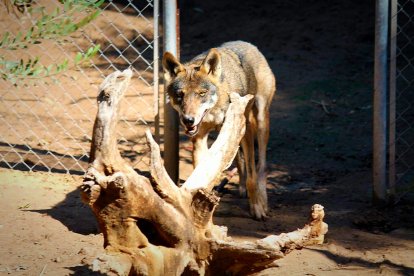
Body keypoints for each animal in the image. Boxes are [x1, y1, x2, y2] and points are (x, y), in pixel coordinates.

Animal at [162, 41, 274, 219]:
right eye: (180, 95)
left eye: (202, 93)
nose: (188, 120)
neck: (214, 110)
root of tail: (247, 43)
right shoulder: (199, 140)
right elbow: (202, 181)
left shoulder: (246, 132)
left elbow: (252, 177)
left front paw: (257, 208)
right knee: (240, 160)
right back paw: (241, 189)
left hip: (261, 121)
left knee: (261, 166)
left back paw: (262, 199)